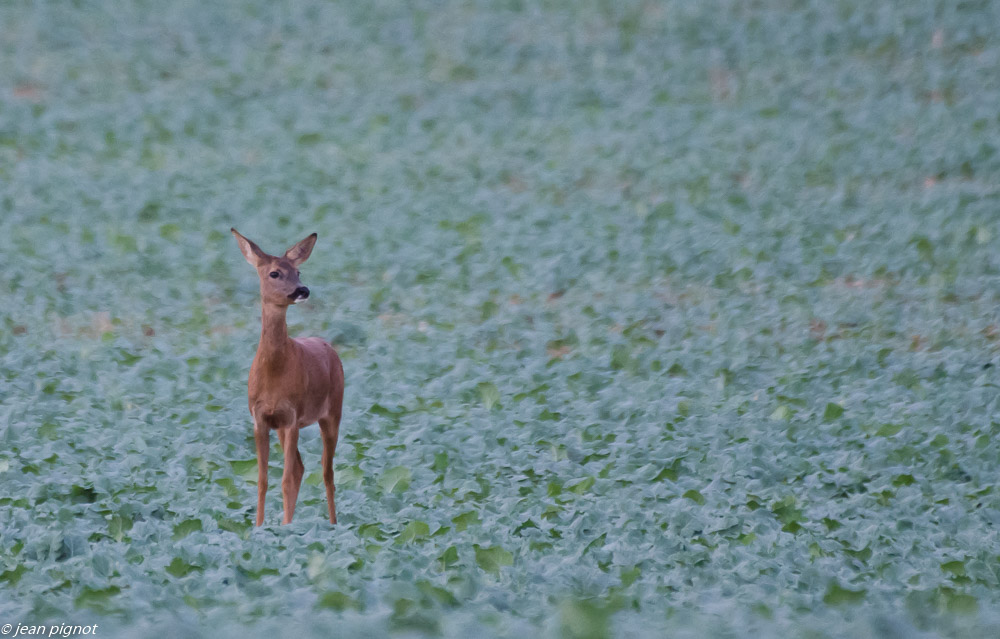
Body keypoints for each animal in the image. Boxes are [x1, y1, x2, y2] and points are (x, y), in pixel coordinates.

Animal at [230, 229, 344, 524]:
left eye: (298, 271)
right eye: (274, 273)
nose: (303, 290)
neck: (274, 375)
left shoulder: (293, 415)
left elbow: (285, 480)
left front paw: (284, 529)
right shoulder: (261, 419)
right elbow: (263, 480)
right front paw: (259, 527)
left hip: (332, 412)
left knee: (327, 472)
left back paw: (333, 524)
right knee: (302, 468)